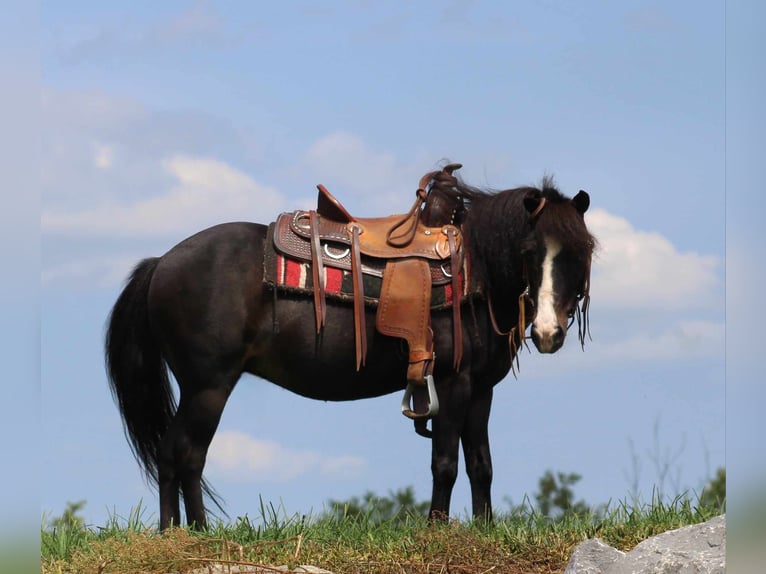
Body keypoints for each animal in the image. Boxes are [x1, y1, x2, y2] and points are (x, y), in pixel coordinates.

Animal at [106, 170, 600, 532]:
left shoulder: (481, 389)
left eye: (581, 252)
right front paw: (436, 528)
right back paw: (189, 534)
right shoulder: (451, 381)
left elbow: (482, 465)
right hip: (207, 387)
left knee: (175, 455)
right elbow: (444, 463)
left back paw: (180, 532)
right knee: (184, 454)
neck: (476, 270)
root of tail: (160, 264)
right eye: (529, 251)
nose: (548, 332)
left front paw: (485, 528)